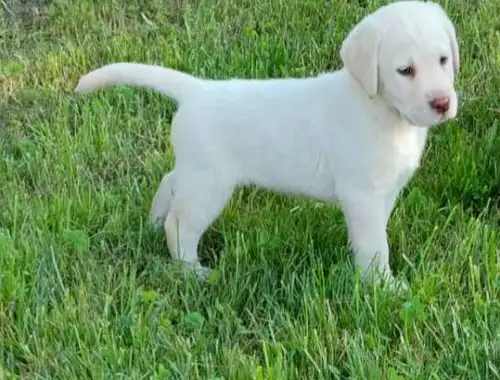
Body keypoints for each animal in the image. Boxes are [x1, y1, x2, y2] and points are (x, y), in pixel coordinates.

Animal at [75, 0, 460, 290]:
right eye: (405, 70)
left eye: (443, 60)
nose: (442, 103)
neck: (381, 110)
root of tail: (197, 90)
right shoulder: (361, 196)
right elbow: (374, 246)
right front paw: (383, 286)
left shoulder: (385, 192)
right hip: (209, 184)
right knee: (180, 224)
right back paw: (193, 271)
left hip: (195, 171)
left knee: (169, 182)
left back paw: (153, 224)